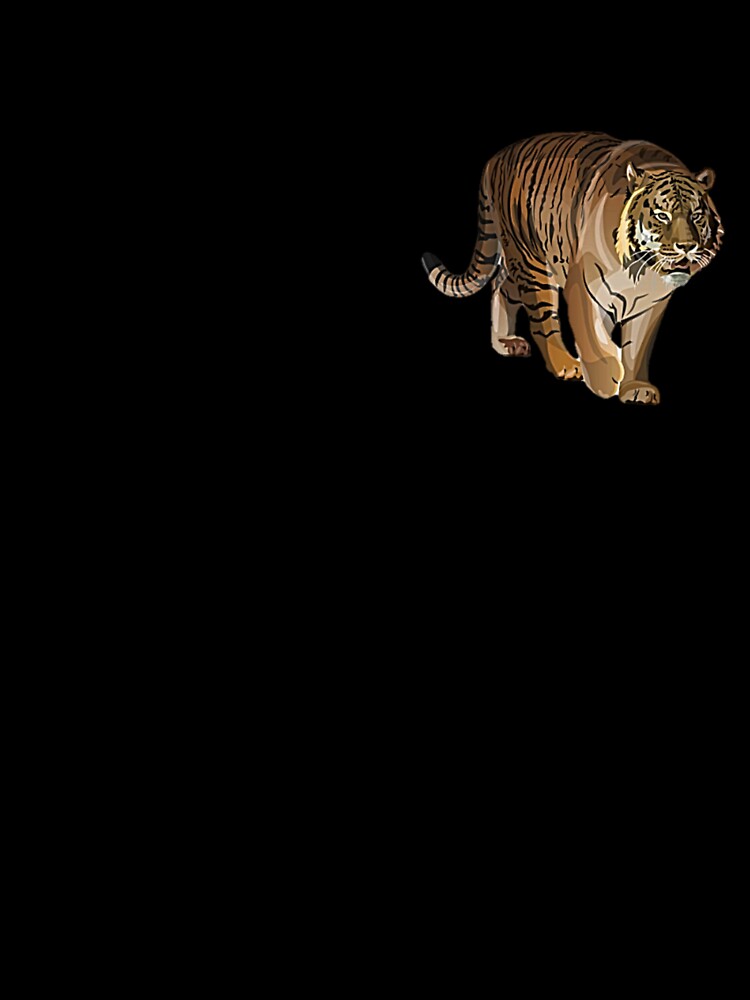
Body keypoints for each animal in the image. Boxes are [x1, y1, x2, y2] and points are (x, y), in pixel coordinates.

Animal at [422, 132, 723, 403]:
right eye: (662, 215)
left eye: (697, 215)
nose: (687, 246)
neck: (641, 272)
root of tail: (493, 160)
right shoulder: (583, 286)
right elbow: (593, 339)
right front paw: (607, 375)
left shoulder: (651, 304)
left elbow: (637, 349)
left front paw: (636, 388)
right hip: (533, 262)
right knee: (542, 321)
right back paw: (565, 365)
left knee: (501, 287)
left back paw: (506, 342)